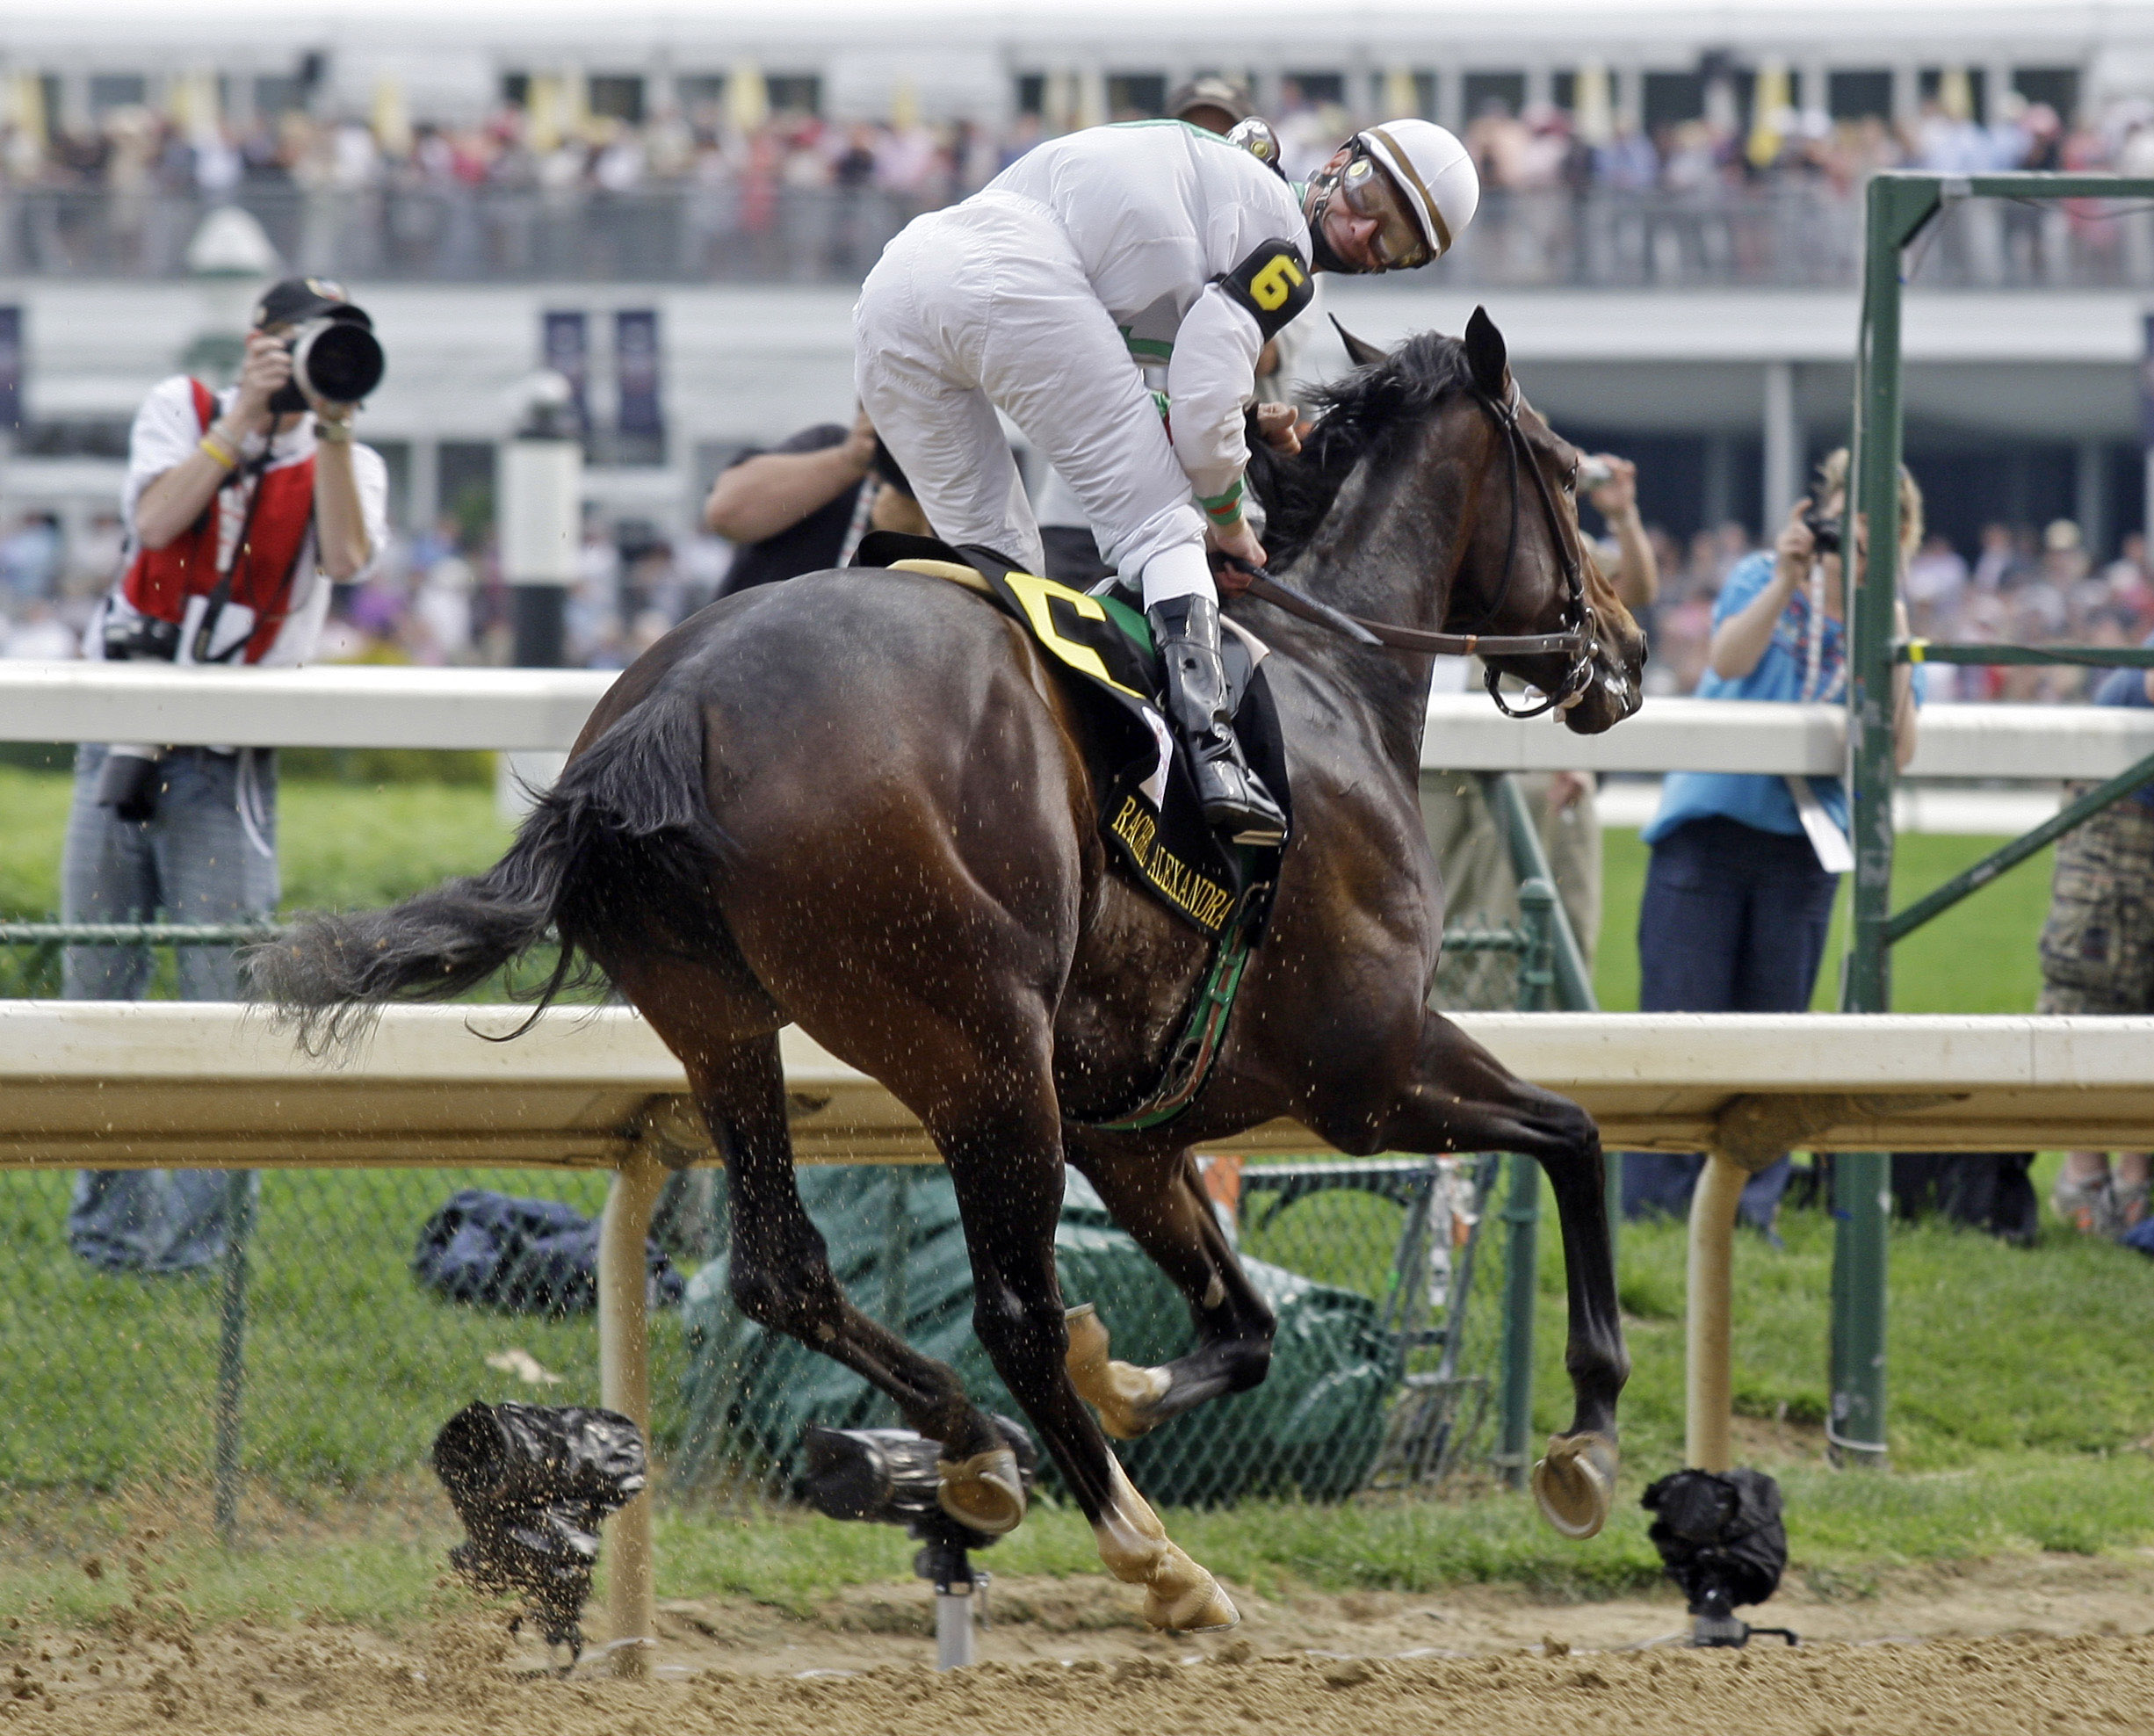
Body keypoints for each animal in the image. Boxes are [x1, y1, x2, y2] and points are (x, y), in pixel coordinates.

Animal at [264, 310, 1645, 1628]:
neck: (1331, 684)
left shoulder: (1135, 1129)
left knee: (786, 1268)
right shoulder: (1370, 1069)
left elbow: (1247, 1329)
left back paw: (978, 1448)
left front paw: (1123, 1377)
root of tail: (672, 709)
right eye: (1571, 473)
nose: (1626, 654)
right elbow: (1573, 1135)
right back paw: (1154, 1555)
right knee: (1010, 1309)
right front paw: (1586, 1440)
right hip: (986, 1050)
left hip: (725, 1024)